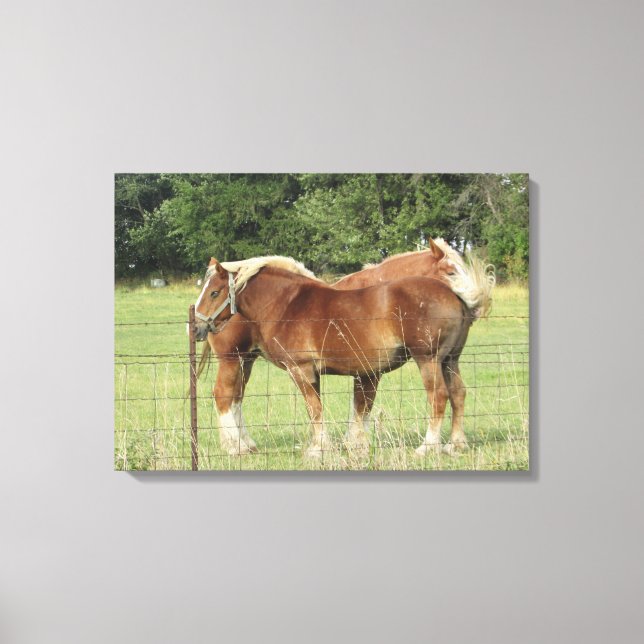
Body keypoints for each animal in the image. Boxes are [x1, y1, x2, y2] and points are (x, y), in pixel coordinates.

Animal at [195, 239, 493, 455]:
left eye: (214, 292)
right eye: (451, 270)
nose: (198, 326)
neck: (288, 303)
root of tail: (455, 297)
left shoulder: (303, 370)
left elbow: (322, 408)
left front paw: (321, 448)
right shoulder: (340, 373)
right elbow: (342, 407)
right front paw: (339, 445)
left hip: (430, 360)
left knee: (440, 396)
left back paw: (428, 447)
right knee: (457, 393)